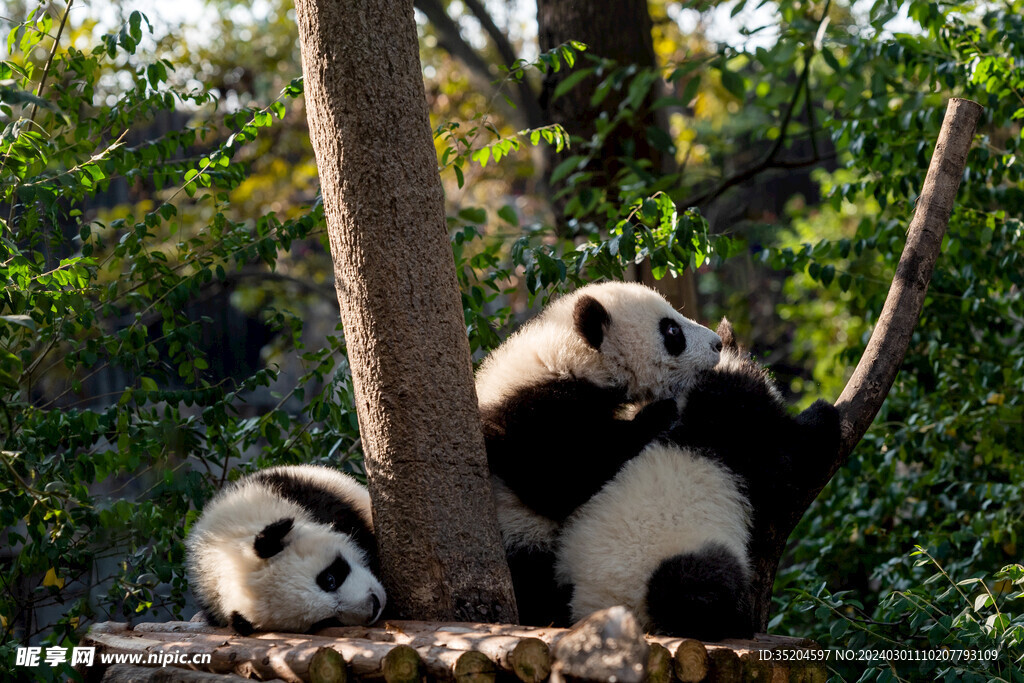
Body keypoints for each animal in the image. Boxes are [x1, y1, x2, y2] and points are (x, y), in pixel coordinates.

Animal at [475, 282, 724, 626]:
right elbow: (560, 482)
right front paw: (658, 413)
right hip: (523, 535)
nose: (718, 344)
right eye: (672, 330)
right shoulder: (531, 418)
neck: (567, 353)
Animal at [561, 321, 839, 643]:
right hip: (674, 559)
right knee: (695, 584)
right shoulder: (734, 432)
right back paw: (732, 621)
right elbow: (786, 465)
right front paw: (823, 413)